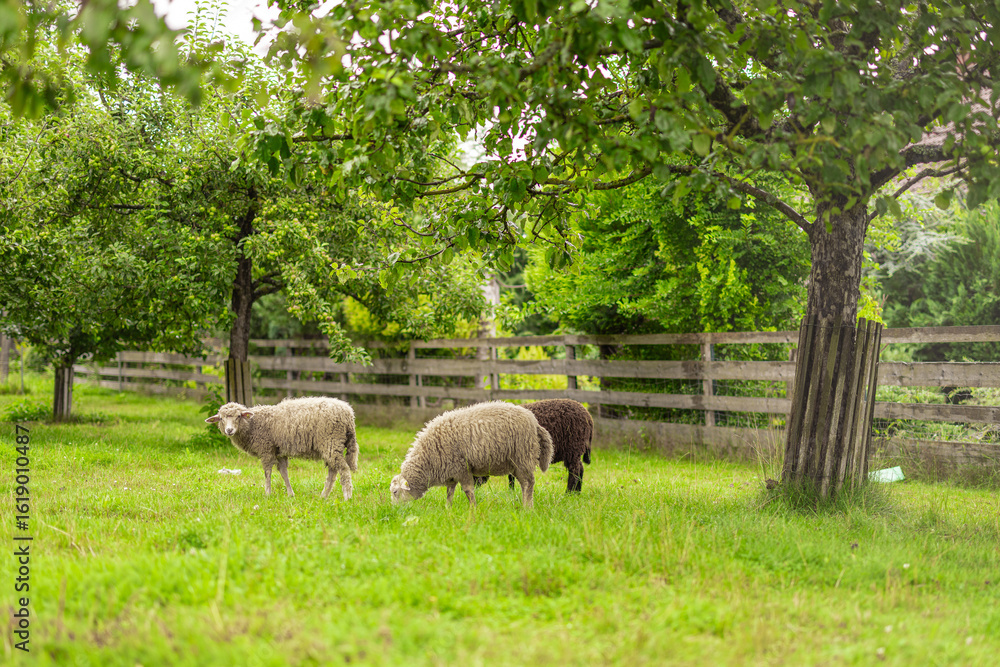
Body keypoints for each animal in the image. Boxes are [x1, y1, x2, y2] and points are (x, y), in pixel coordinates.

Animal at [205, 396, 359, 500]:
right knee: (333, 471)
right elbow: (284, 473)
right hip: (331, 445)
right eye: (221, 418)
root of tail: (349, 414)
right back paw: (324, 495)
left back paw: (347, 497)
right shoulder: (279, 452)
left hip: (331, 440)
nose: (229, 430)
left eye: (238, 416)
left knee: (343, 469)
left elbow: (267, 472)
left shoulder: (266, 449)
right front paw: (291, 494)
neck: (253, 425)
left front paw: (267, 493)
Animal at [389, 401, 554, 508]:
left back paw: (527, 507)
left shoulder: (462, 468)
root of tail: (534, 421)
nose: (395, 511)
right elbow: (449, 492)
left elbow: (468, 491)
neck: (428, 458)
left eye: (395, 491)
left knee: (529, 483)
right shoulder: (451, 473)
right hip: (517, 462)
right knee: (525, 483)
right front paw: (448, 509)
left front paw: (473, 508)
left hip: (523, 457)